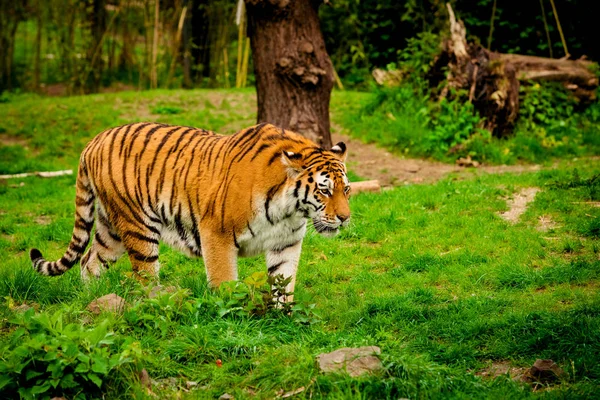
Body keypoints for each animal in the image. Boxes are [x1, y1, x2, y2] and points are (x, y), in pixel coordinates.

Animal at [30, 122, 352, 300]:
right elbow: (224, 281)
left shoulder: (286, 242)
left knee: (89, 262)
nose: (345, 218)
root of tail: (93, 141)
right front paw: (232, 319)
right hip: (138, 227)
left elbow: (284, 282)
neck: (290, 209)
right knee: (144, 277)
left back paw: (91, 299)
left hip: (111, 230)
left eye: (346, 189)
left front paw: (283, 317)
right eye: (324, 190)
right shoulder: (217, 234)